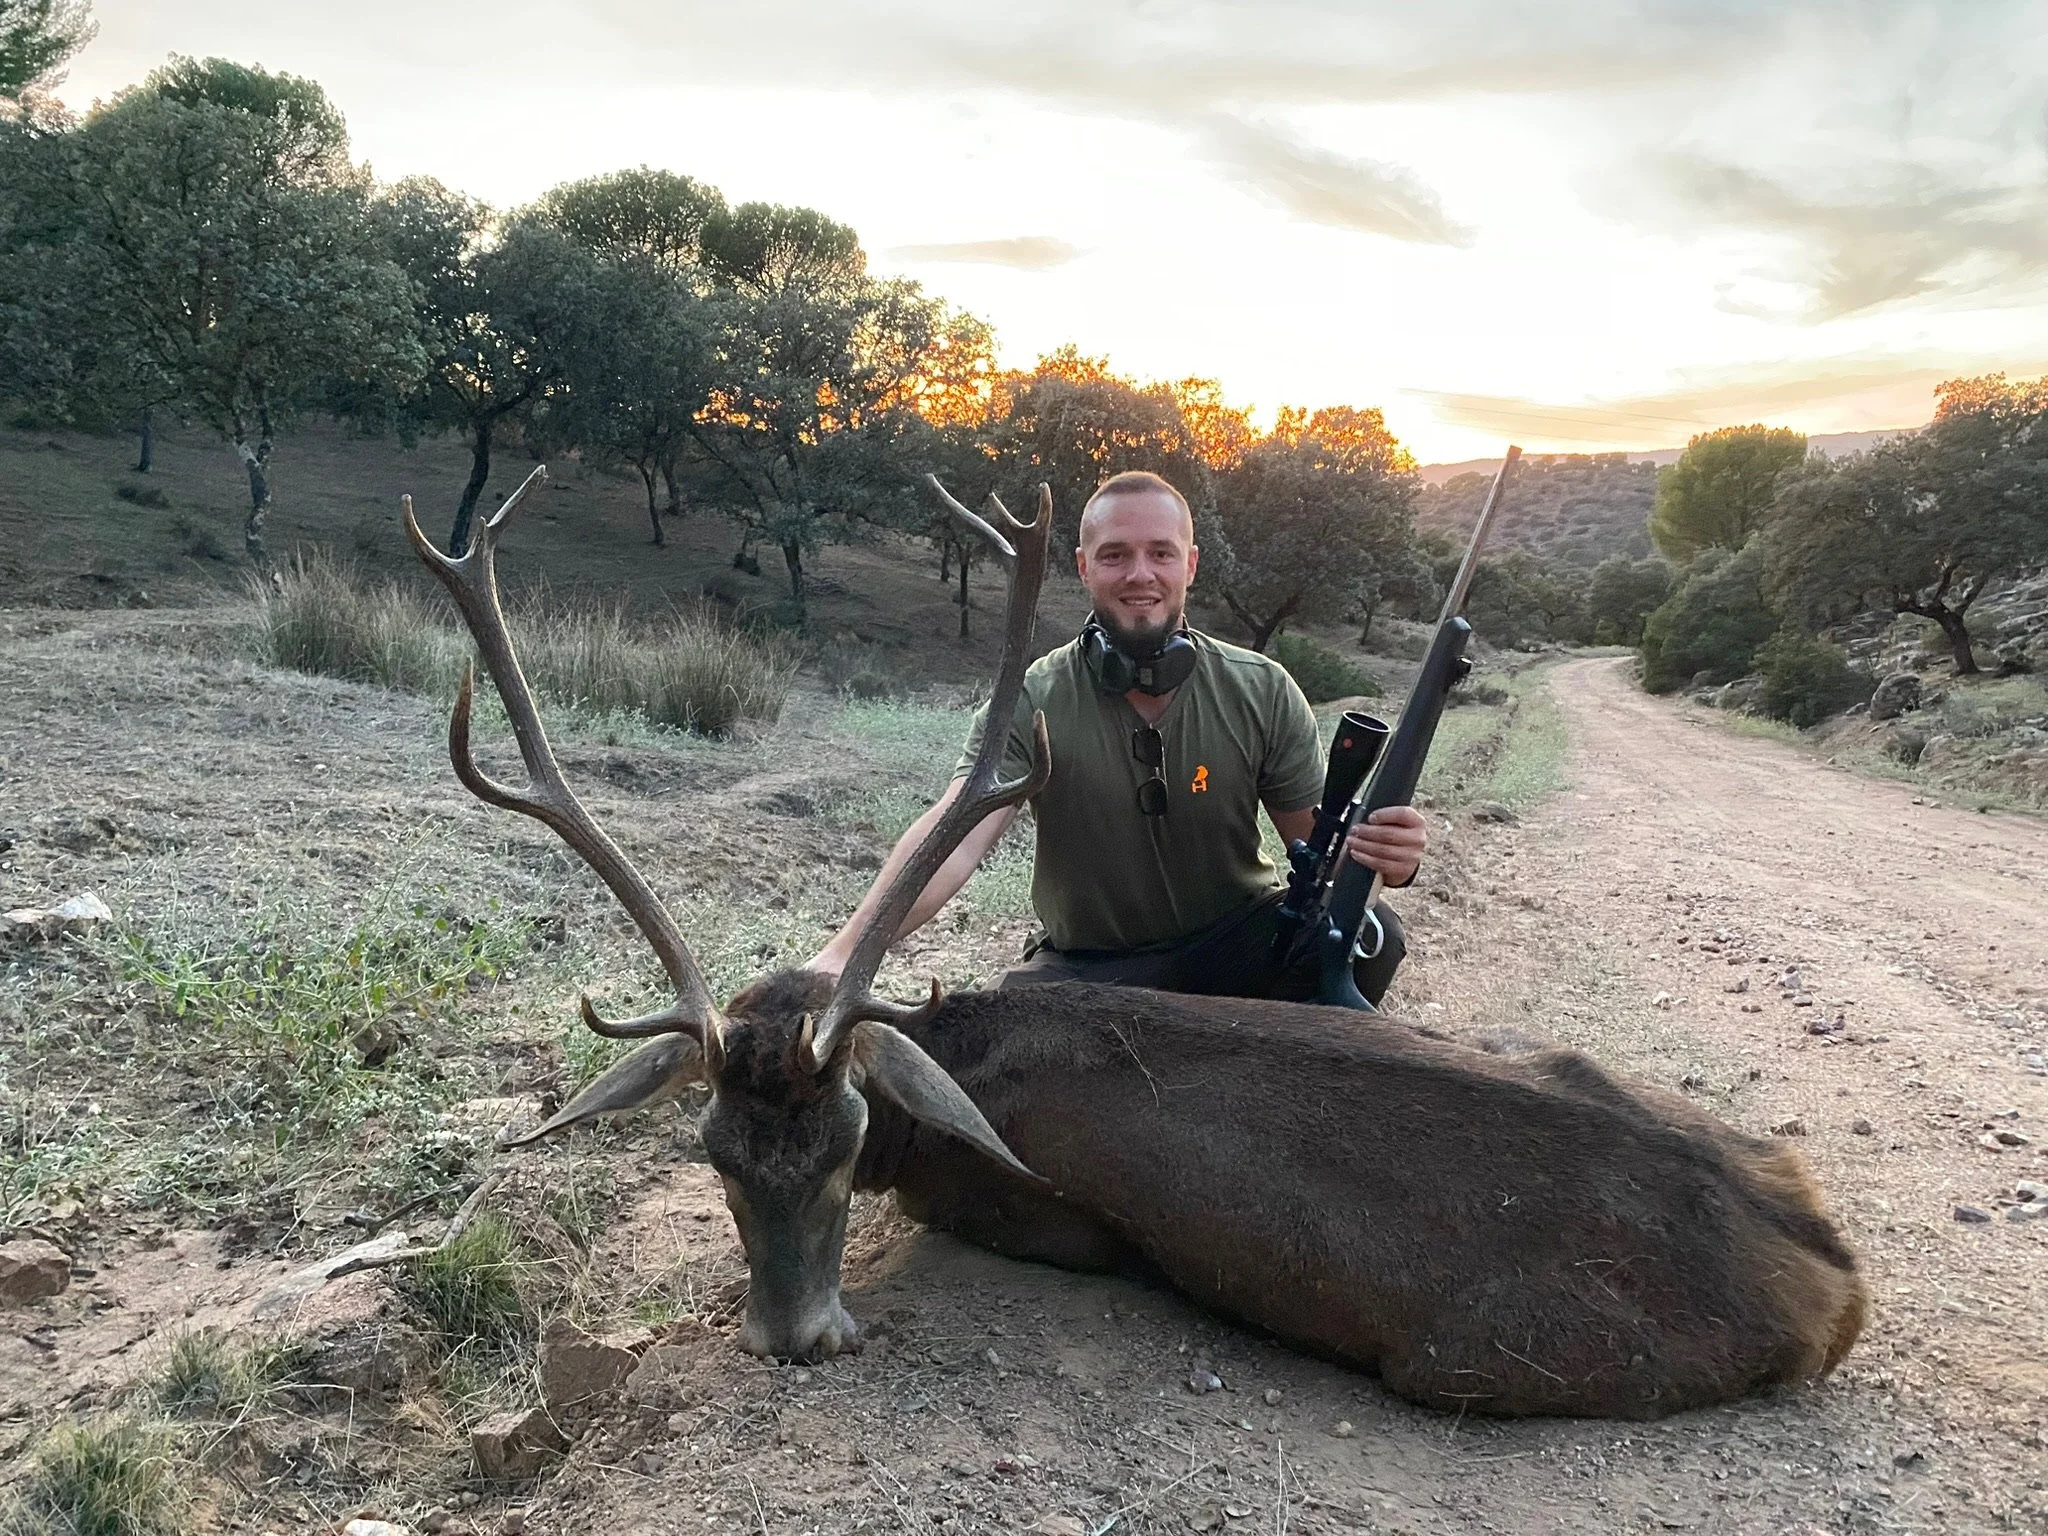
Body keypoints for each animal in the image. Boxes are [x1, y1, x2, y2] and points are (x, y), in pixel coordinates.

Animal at [401, 467, 1867, 1420]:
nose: (794, 1339)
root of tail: (1833, 1280)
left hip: (1490, 1360)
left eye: (854, 1141)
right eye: (709, 1150)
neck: (954, 1083)